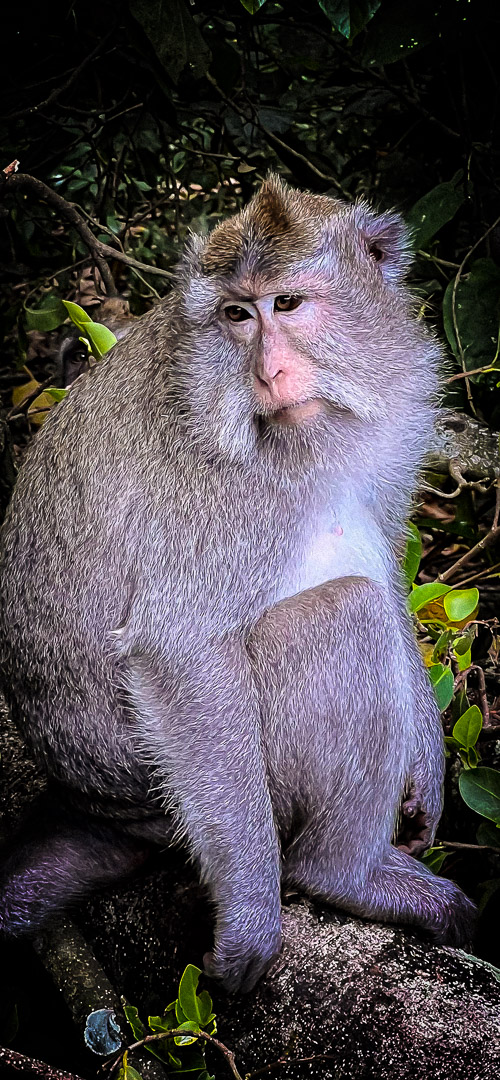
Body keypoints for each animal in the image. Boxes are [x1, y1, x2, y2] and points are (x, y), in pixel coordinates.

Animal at [0, 174, 476, 993]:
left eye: (286, 304)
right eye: (237, 315)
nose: (269, 373)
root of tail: (96, 803)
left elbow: (385, 561)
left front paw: (428, 766)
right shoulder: (213, 494)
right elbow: (179, 652)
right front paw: (253, 913)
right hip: (181, 787)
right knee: (348, 616)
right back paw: (343, 875)